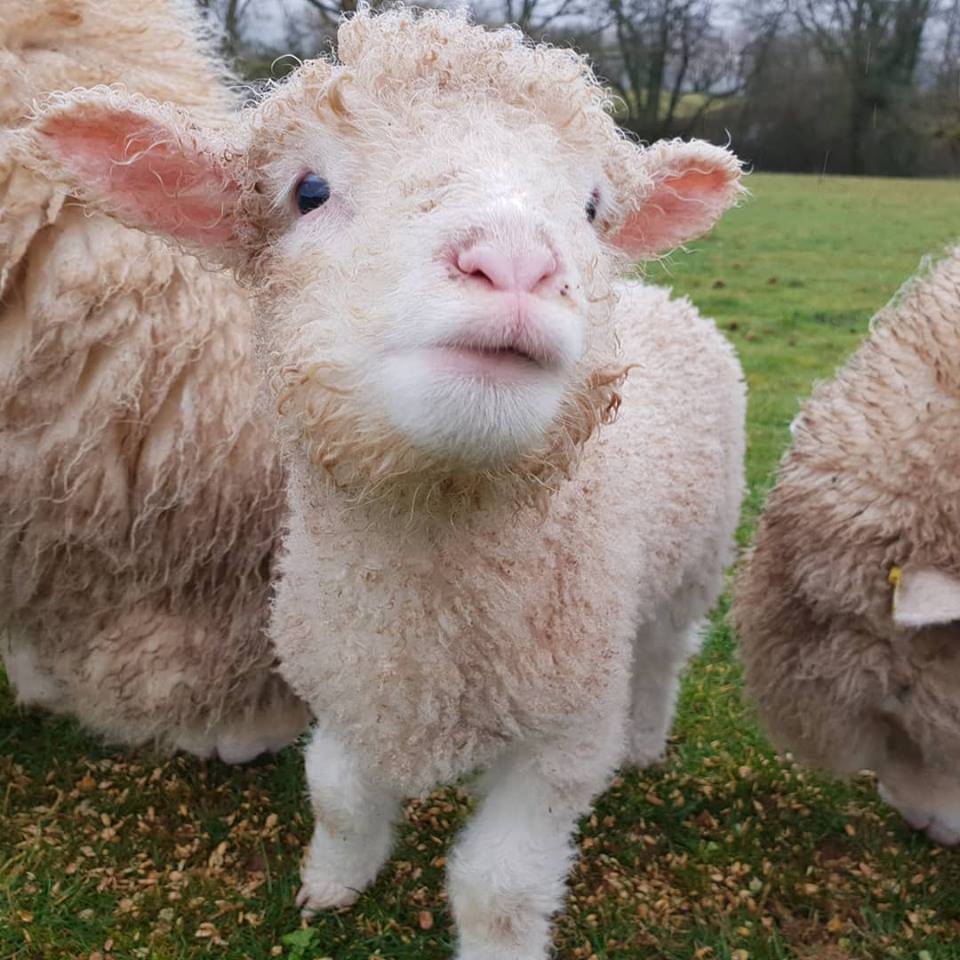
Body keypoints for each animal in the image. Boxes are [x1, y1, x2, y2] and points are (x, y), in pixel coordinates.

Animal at [29, 9, 747, 956]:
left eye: (594, 208)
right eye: (307, 191)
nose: (514, 265)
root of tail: (672, 304)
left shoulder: (562, 737)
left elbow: (500, 883)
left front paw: (498, 944)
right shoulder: (342, 677)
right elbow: (335, 793)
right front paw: (333, 883)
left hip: (693, 566)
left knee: (665, 651)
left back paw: (645, 737)